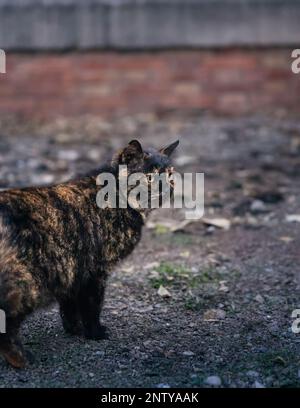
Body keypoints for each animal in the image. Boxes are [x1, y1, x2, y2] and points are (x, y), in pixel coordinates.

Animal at [0, 139, 178, 368]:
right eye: (149, 177)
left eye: (171, 176)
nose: (167, 190)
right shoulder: (95, 270)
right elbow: (92, 305)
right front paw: (95, 333)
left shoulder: (70, 269)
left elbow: (69, 307)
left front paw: (74, 330)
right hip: (26, 284)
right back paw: (21, 359)